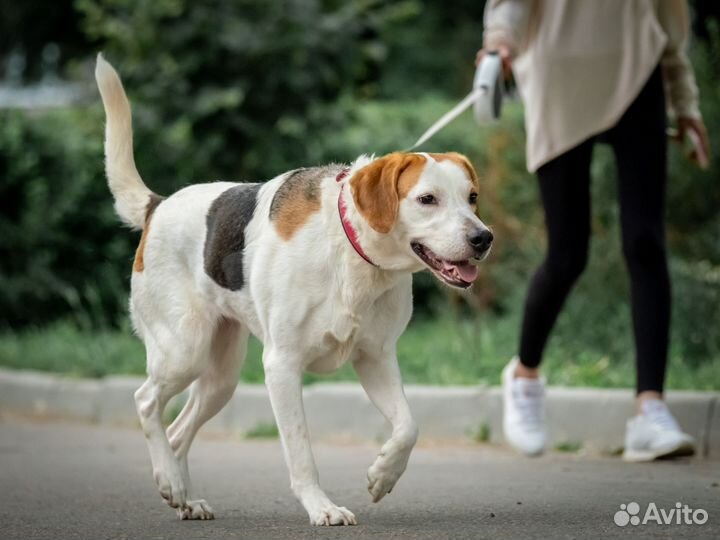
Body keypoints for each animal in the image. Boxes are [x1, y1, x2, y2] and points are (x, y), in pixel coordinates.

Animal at [94, 56, 490, 528]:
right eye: (427, 199)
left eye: (472, 197)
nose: (483, 238)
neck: (349, 250)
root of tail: (158, 205)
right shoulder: (281, 365)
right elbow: (301, 453)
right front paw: (322, 507)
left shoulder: (376, 358)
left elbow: (408, 427)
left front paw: (383, 475)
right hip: (183, 351)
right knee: (146, 402)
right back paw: (171, 479)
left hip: (221, 377)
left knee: (177, 430)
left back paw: (183, 494)